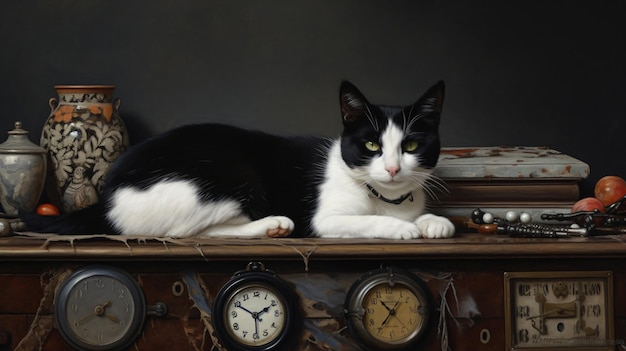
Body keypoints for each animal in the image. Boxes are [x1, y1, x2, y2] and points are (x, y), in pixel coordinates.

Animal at [24, 82, 454, 241]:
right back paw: (274, 224)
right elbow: (365, 221)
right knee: (187, 233)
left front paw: (433, 222)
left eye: (411, 145)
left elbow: (428, 217)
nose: (393, 169)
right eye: (370, 145)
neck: (386, 198)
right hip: (233, 176)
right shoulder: (325, 220)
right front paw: (402, 228)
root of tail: (107, 198)